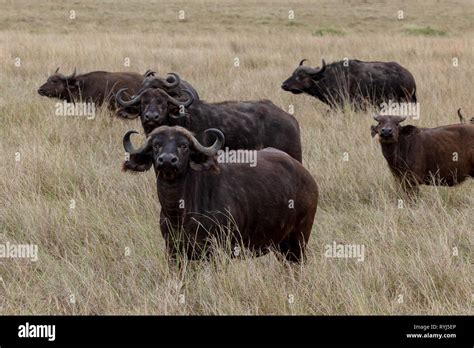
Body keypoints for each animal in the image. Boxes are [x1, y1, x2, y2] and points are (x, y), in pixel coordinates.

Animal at [122, 126, 318, 262]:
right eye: (156, 146)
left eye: (183, 146)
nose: (168, 160)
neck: (179, 212)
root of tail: (307, 177)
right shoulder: (173, 252)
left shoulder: (215, 250)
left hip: (298, 240)